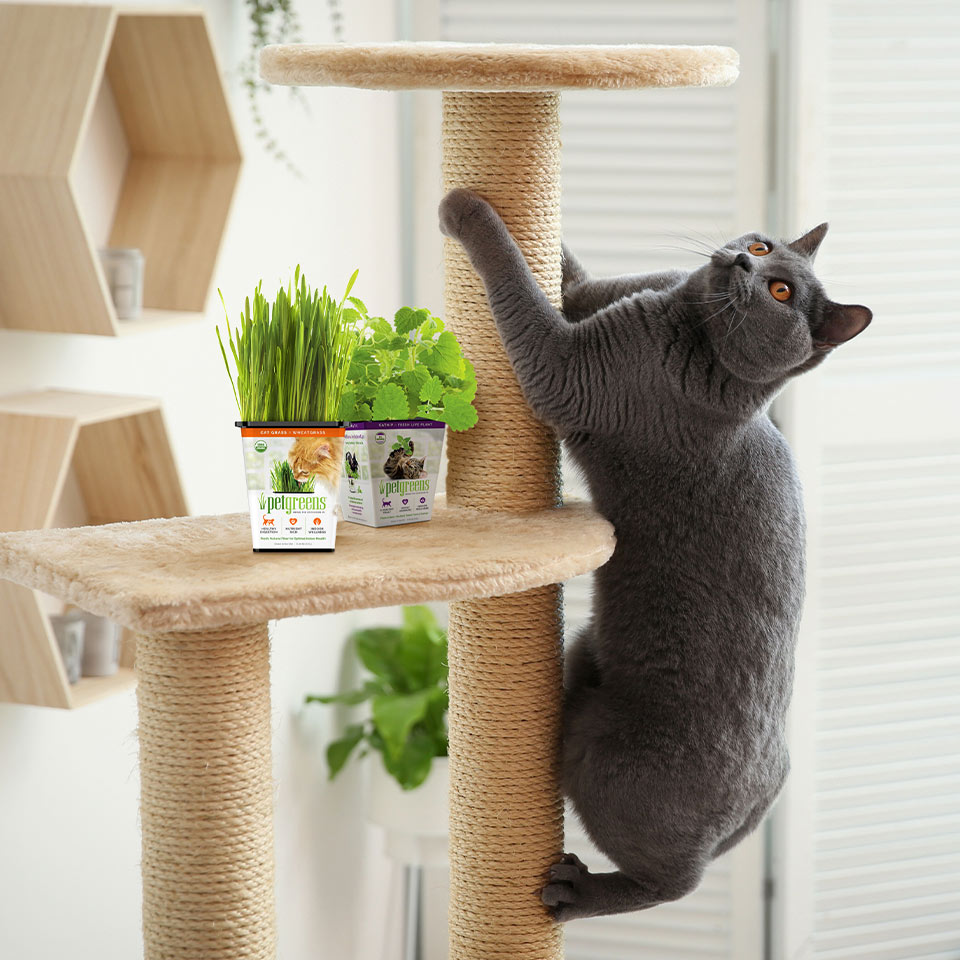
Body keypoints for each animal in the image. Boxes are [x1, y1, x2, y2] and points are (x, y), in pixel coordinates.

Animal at [438, 188, 872, 924]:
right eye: (763, 247)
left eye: (782, 291)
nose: (741, 261)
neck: (684, 315)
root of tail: (746, 818)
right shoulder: (596, 297)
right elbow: (566, 275)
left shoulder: (568, 368)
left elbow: (515, 281)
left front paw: (463, 206)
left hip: (610, 767)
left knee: (671, 884)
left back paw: (571, 892)